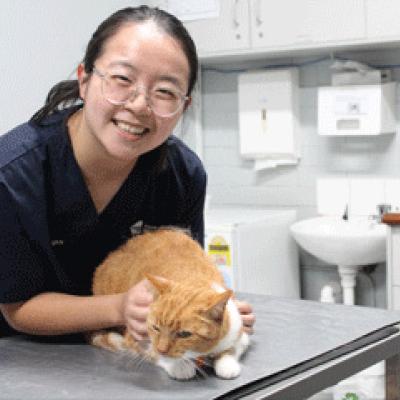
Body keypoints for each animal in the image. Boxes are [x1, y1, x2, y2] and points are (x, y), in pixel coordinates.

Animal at [92, 228, 252, 378]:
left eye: (184, 334)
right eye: (155, 328)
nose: (162, 349)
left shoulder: (238, 332)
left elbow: (230, 350)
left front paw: (227, 365)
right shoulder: (136, 337)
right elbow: (153, 352)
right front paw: (179, 366)